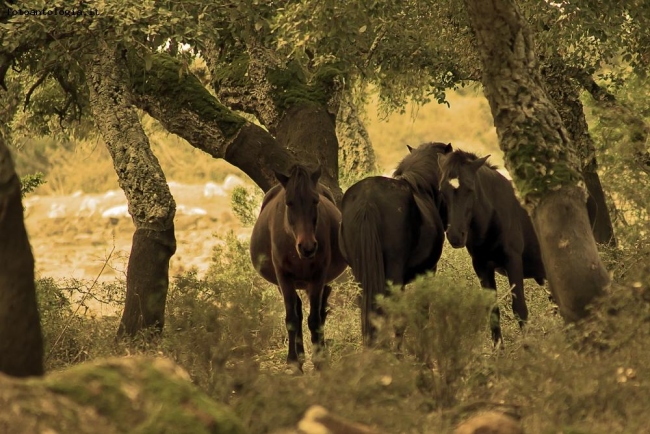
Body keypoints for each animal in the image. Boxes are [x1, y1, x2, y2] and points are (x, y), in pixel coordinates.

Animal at [249, 164, 350, 372]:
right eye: (289, 203)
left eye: (315, 200)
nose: (308, 247)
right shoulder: (284, 278)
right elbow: (292, 320)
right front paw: (293, 363)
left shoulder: (318, 277)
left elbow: (315, 319)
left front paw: (320, 360)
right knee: (298, 311)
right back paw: (300, 355)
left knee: (320, 313)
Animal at [436, 146, 548, 346]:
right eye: (442, 191)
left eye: (470, 189)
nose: (455, 235)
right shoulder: (482, 266)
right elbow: (493, 311)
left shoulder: (513, 262)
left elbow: (520, 309)